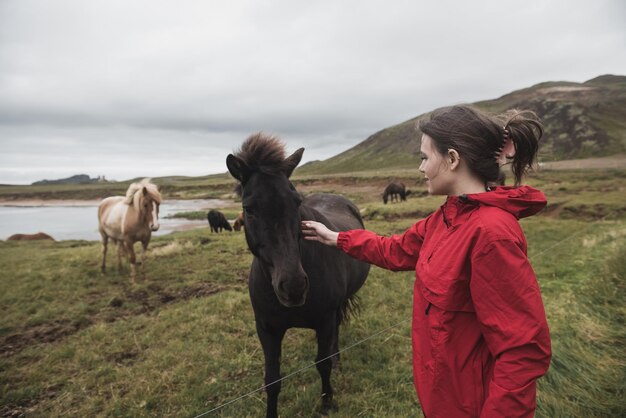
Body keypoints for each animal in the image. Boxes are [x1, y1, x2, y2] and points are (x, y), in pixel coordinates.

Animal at [225, 134, 368, 418]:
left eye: (297, 202)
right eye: (249, 209)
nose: (293, 286)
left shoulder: (324, 321)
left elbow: (322, 364)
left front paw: (326, 403)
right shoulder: (267, 328)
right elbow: (272, 380)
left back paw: (337, 360)